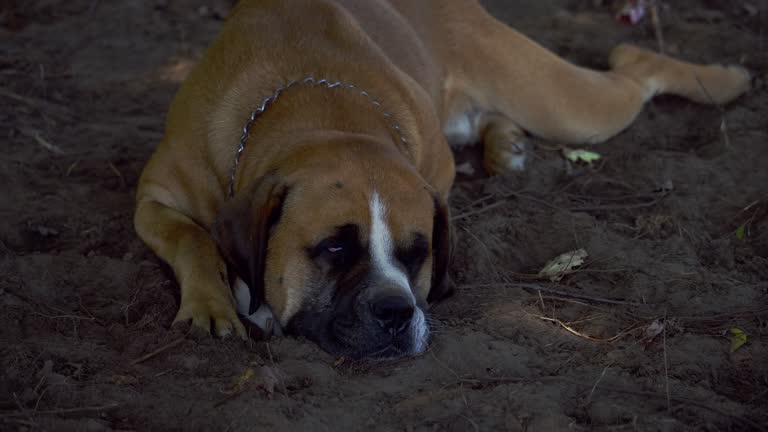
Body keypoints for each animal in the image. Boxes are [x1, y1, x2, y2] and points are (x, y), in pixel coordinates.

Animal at [134, 0, 752, 358]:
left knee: (637, 67)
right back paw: (507, 144)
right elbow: (192, 237)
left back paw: (726, 78)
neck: (317, 104)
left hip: (564, 103)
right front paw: (211, 304)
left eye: (419, 254)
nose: (396, 312)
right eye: (333, 248)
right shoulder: (152, 197)